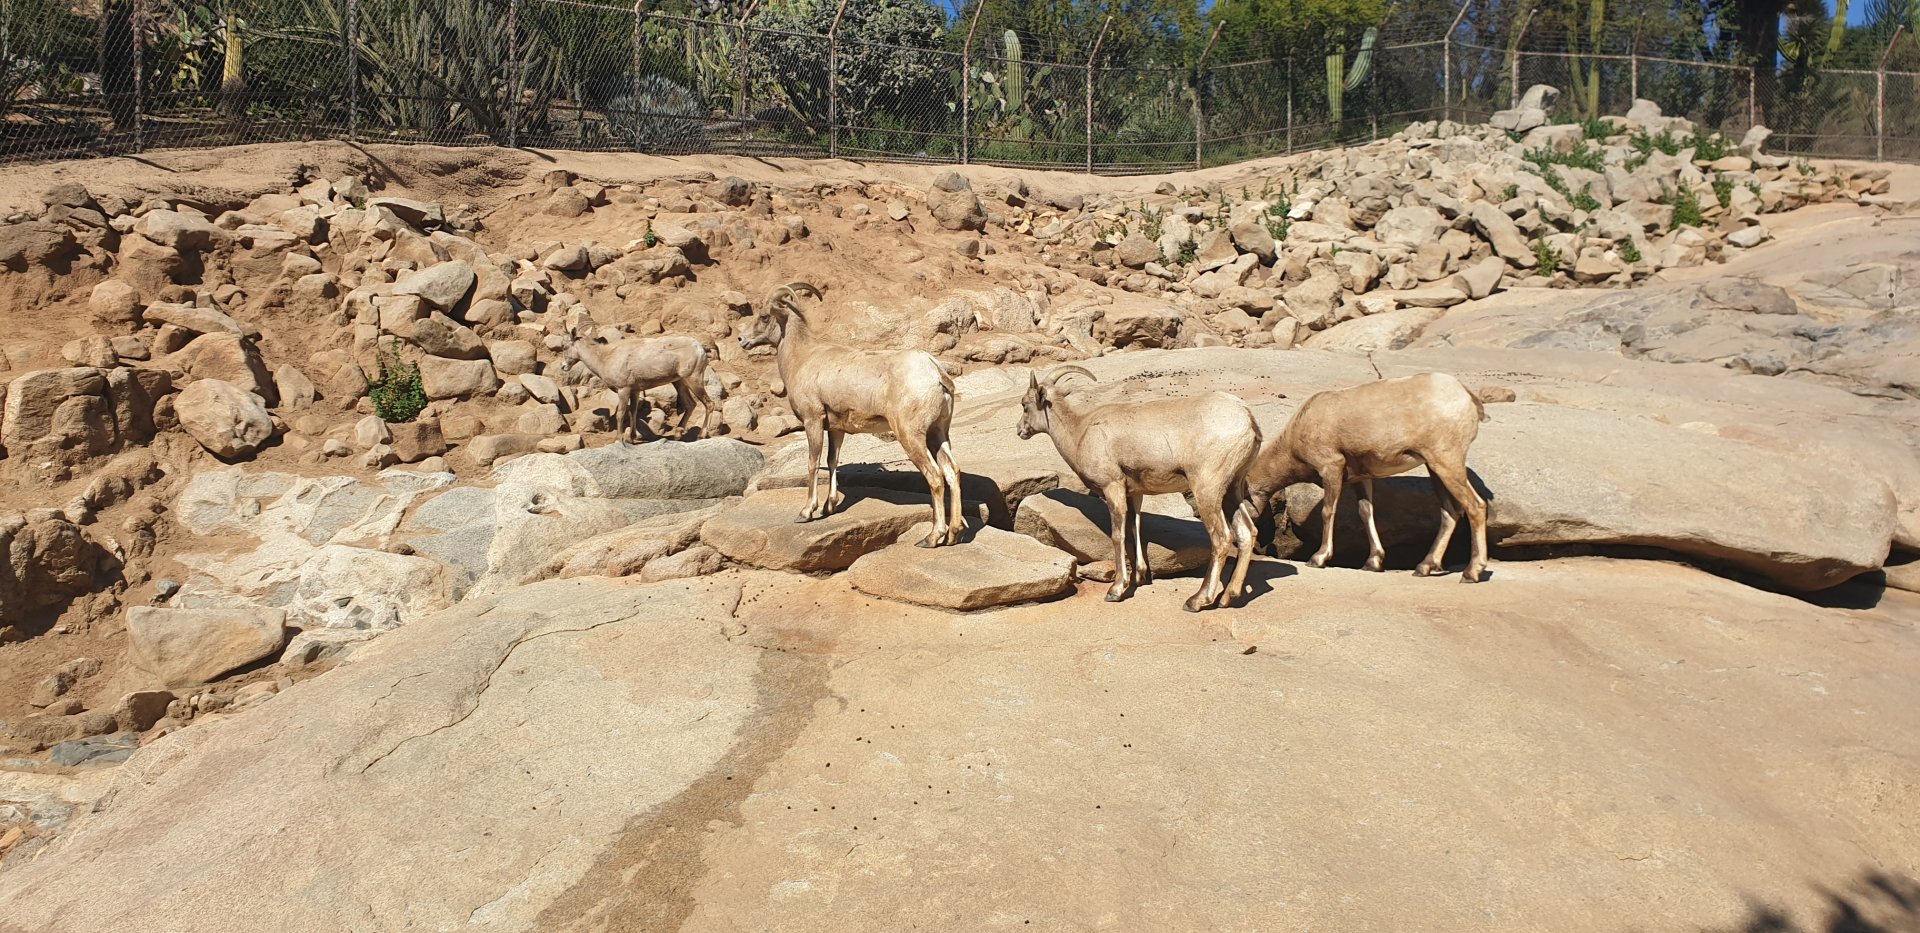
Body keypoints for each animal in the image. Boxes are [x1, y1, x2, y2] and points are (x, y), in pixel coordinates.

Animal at [559, 328, 719, 443]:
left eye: (564, 346)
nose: (563, 366)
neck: (604, 358)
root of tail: (700, 349)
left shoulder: (623, 390)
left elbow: (621, 413)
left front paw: (619, 439)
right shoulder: (635, 391)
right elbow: (633, 412)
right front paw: (632, 438)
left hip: (693, 379)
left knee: (709, 403)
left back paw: (701, 435)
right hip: (679, 382)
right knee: (691, 404)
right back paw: (678, 434)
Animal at [737, 282, 966, 548]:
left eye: (764, 316)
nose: (742, 339)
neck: (801, 359)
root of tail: (935, 373)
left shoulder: (812, 421)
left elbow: (813, 463)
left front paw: (806, 512)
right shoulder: (836, 429)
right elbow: (831, 461)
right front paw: (829, 507)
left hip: (911, 436)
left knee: (936, 477)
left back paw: (932, 537)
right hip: (938, 434)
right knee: (952, 472)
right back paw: (953, 534)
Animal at [1016, 365, 1261, 612]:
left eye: (1025, 404)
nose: (1019, 430)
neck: (1080, 433)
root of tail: (1248, 420)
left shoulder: (1112, 486)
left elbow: (1118, 535)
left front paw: (1116, 590)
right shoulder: (1135, 493)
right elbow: (1135, 528)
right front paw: (1139, 577)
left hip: (1207, 489)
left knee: (1222, 539)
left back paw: (1197, 600)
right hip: (1232, 489)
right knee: (1247, 533)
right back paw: (1228, 597)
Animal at [1245, 372, 1490, 583]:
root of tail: (1467, 397)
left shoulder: (1331, 467)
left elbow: (1327, 512)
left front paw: (1319, 558)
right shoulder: (1360, 478)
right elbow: (1366, 512)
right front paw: (1373, 562)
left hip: (1446, 461)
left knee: (1475, 506)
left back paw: (1472, 572)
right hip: (1435, 466)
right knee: (1450, 512)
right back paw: (1424, 567)